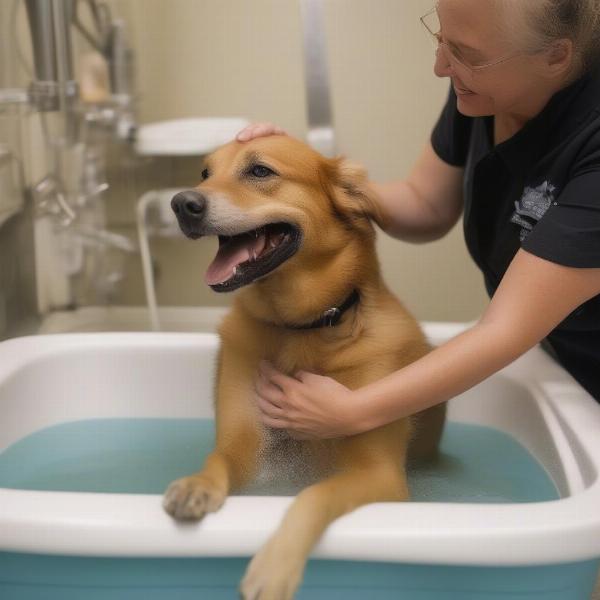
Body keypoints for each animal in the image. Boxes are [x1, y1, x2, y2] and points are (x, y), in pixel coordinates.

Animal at [164, 136, 446, 600]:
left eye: (260, 171)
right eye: (205, 173)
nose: (181, 203)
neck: (301, 331)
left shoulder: (380, 474)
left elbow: (314, 495)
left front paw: (274, 567)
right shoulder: (244, 446)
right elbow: (218, 459)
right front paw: (196, 485)